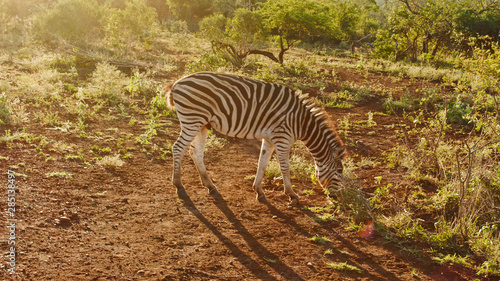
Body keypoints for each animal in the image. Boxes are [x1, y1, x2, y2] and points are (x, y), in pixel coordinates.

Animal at [166, 71, 346, 205]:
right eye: (339, 171)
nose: (338, 198)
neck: (301, 123)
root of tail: (177, 82)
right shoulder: (282, 138)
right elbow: (285, 168)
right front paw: (292, 195)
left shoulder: (270, 139)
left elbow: (262, 163)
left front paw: (259, 191)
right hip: (192, 119)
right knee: (178, 148)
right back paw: (179, 186)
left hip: (202, 123)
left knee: (195, 153)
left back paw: (210, 186)